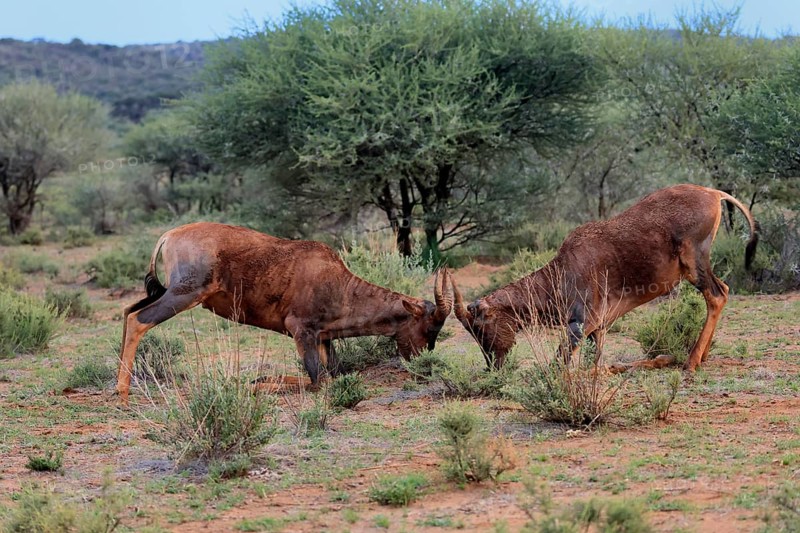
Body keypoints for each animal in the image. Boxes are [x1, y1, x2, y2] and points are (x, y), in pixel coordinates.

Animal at [116, 222, 452, 402]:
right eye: (428, 327)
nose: (424, 367)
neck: (334, 278)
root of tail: (171, 235)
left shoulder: (322, 337)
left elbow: (332, 373)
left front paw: (257, 379)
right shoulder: (300, 330)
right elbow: (318, 380)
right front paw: (256, 384)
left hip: (170, 292)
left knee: (128, 311)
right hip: (185, 294)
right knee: (138, 320)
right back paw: (122, 392)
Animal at [451, 184, 757, 372]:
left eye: (478, 327)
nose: (494, 367)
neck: (567, 265)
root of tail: (713, 192)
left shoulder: (581, 324)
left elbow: (561, 363)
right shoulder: (597, 329)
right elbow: (597, 364)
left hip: (695, 264)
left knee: (717, 295)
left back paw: (691, 363)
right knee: (722, 291)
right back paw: (701, 357)